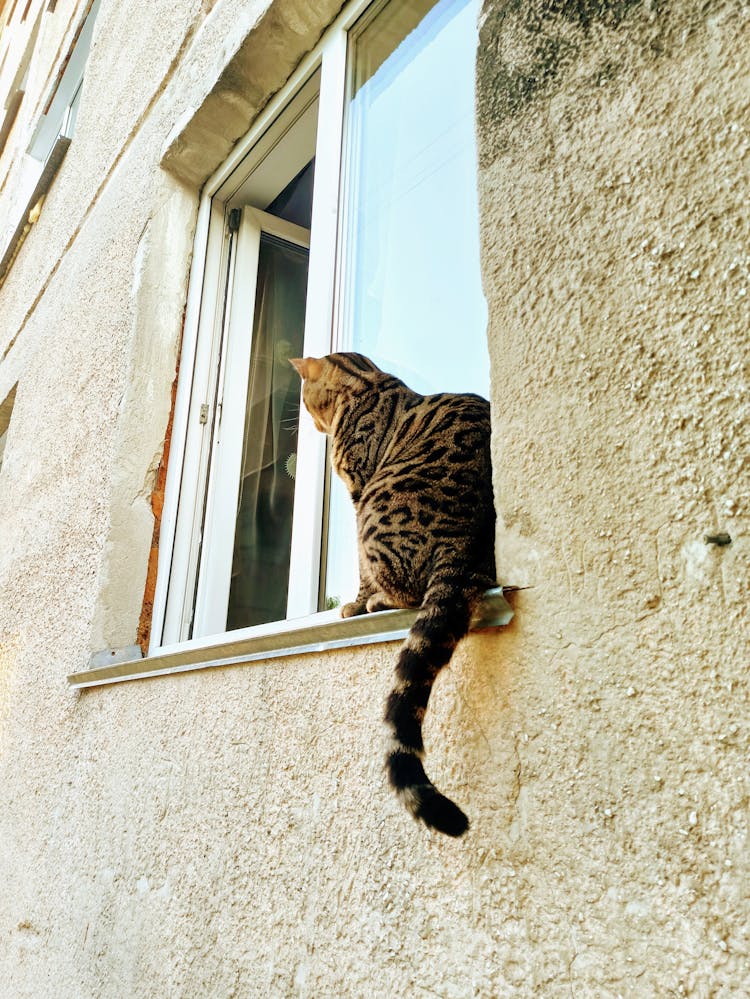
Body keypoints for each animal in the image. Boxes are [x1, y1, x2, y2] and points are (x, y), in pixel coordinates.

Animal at [290, 352, 496, 836]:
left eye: (306, 399)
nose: (307, 423)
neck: (368, 385)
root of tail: (465, 537)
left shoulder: (357, 487)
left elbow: (361, 570)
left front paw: (355, 603)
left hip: (376, 508)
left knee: (405, 590)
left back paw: (377, 602)